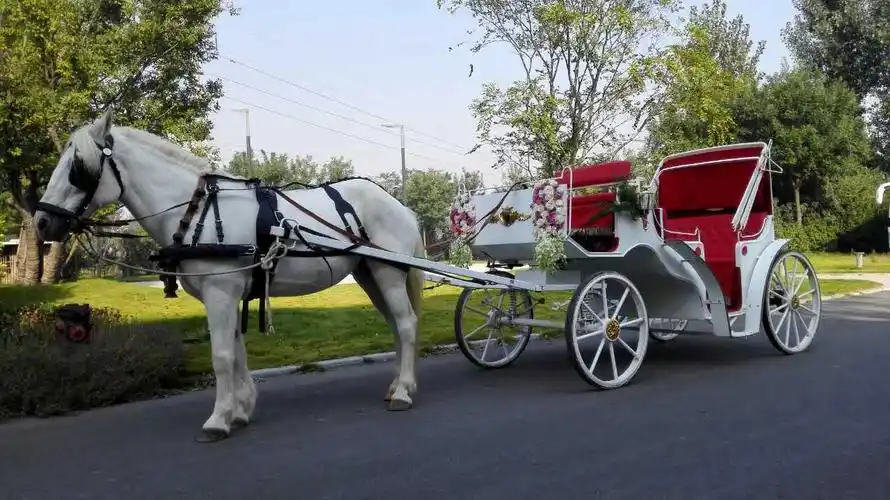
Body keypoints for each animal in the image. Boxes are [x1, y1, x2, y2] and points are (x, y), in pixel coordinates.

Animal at [33, 107, 427, 443]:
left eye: (77, 168)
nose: (41, 221)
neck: (196, 211)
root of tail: (400, 206)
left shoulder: (220, 291)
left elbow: (221, 356)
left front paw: (218, 420)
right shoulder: (229, 294)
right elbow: (236, 352)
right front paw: (240, 411)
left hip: (387, 271)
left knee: (407, 324)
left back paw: (403, 392)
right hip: (369, 274)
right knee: (396, 325)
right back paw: (398, 385)